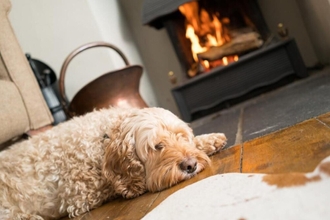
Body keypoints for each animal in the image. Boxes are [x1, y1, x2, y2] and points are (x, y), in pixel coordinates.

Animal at [0, 106, 227, 218]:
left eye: (181, 136)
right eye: (157, 146)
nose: (190, 165)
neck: (105, 138)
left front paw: (210, 140)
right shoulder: (80, 195)